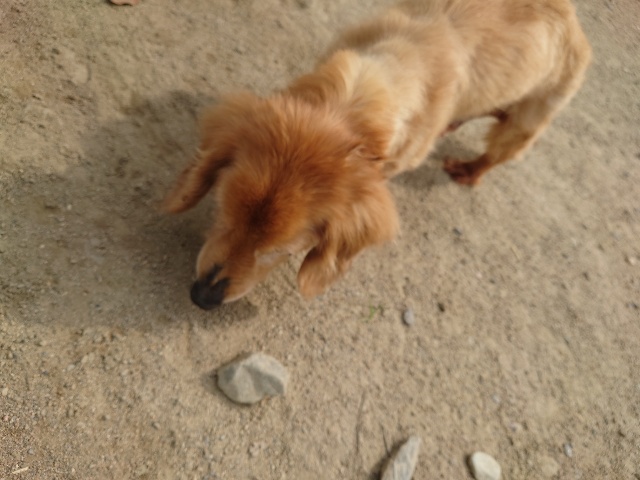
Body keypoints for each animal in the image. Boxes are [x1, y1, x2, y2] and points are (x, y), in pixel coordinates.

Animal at [164, 0, 591, 309]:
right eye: (221, 215)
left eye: (280, 252)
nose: (201, 298)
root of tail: (571, 16)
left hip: (528, 119)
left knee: (499, 151)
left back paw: (468, 170)